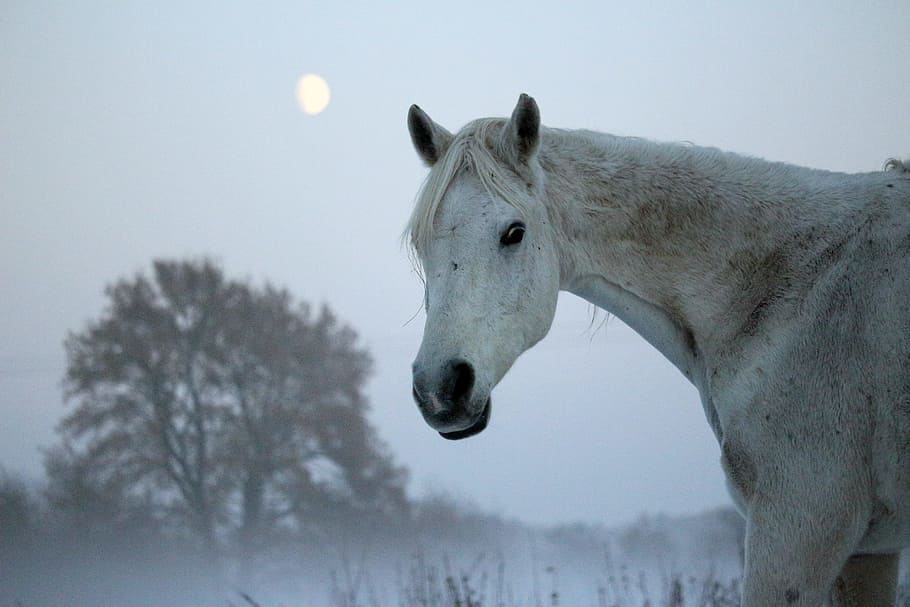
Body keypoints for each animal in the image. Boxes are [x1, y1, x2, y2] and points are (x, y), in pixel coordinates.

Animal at [404, 94, 910, 606]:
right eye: (421, 244)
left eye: (514, 232)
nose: (440, 390)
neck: (792, 285)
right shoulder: (868, 553)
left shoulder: (796, 529)